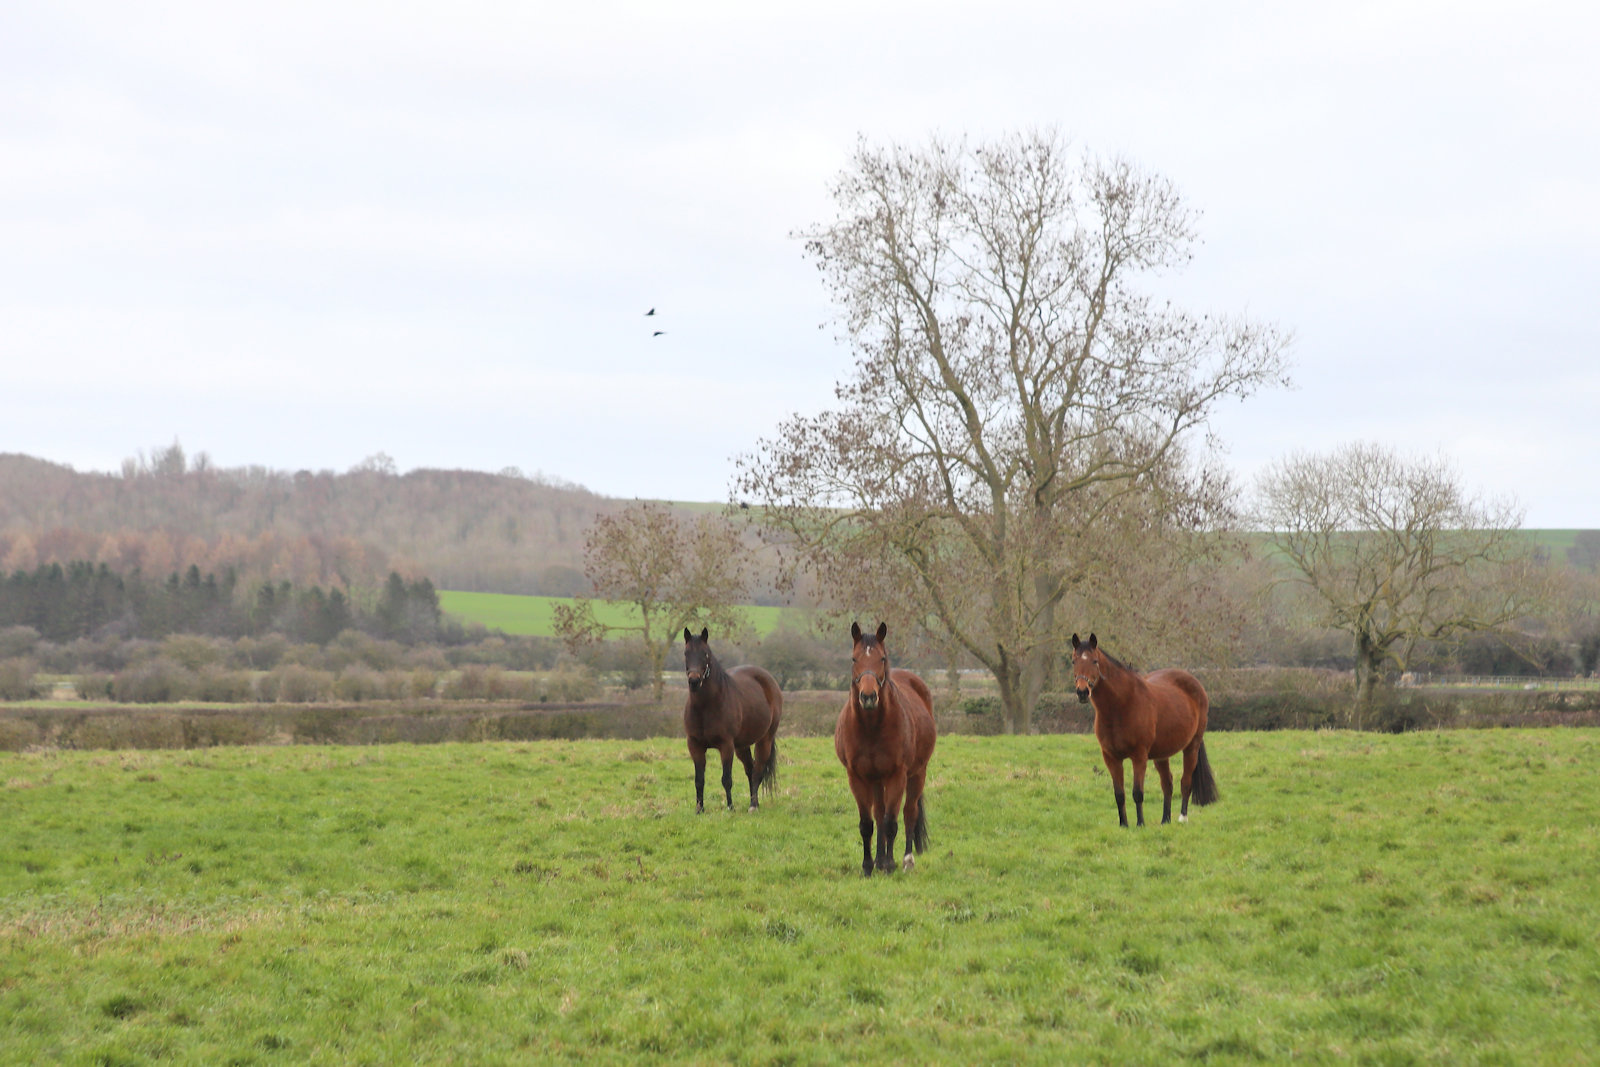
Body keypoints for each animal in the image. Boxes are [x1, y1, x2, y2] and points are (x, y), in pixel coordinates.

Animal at [682, 627, 783, 813]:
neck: (705, 707)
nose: (694, 681)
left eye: (705, 653)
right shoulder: (695, 745)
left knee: (758, 771)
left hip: (764, 740)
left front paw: (730, 807)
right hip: (742, 746)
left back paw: (753, 805)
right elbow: (699, 780)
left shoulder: (726, 745)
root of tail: (769, 679)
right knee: (750, 769)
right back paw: (754, 802)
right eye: (686, 653)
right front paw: (699, 809)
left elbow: (726, 779)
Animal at [835, 622, 937, 876]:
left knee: (909, 813)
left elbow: (892, 822)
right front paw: (868, 866)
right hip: (876, 780)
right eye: (854, 659)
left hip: (917, 774)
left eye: (882, 658)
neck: (871, 728)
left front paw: (890, 864)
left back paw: (906, 860)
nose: (868, 697)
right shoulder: (857, 777)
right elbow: (867, 824)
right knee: (879, 814)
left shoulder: (896, 775)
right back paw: (879, 860)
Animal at [1070, 632, 1219, 828]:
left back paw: (1182, 818)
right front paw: (1123, 825)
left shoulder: (1139, 756)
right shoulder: (1111, 758)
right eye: (1073, 661)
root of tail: (1196, 684)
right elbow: (1119, 794)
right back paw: (1165, 820)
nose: (1082, 692)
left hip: (1191, 747)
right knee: (1167, 784)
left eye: (1094, 661)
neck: (1121, 705)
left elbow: (1137, 793)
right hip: (1161, 754)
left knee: (1185, 782)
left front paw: (1140, 824)